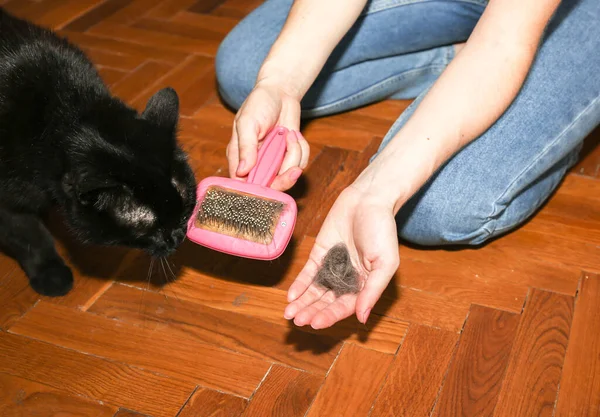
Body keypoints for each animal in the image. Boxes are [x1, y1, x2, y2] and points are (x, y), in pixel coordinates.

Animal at [0, 8, 198, 298]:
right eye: (152, 229)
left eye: (184, 212)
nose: (178, 236)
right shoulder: (7, 205)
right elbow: (29, 238)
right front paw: (50, 274)